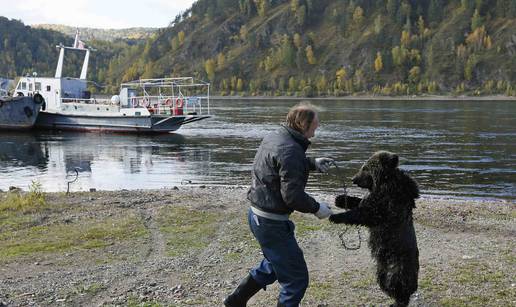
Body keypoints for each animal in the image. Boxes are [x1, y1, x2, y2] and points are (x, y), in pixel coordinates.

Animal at [330, 152, 420, 307]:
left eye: (365, 168)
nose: (353, 179)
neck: (382, 184)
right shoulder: (373, 197)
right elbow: (359, 202)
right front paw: (340, 199)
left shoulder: (386, 204)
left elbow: (365, 214)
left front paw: (335, 216)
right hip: (381, 268)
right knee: (385, 282)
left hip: (397, 265)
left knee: (398, 285)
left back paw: (398, 302)